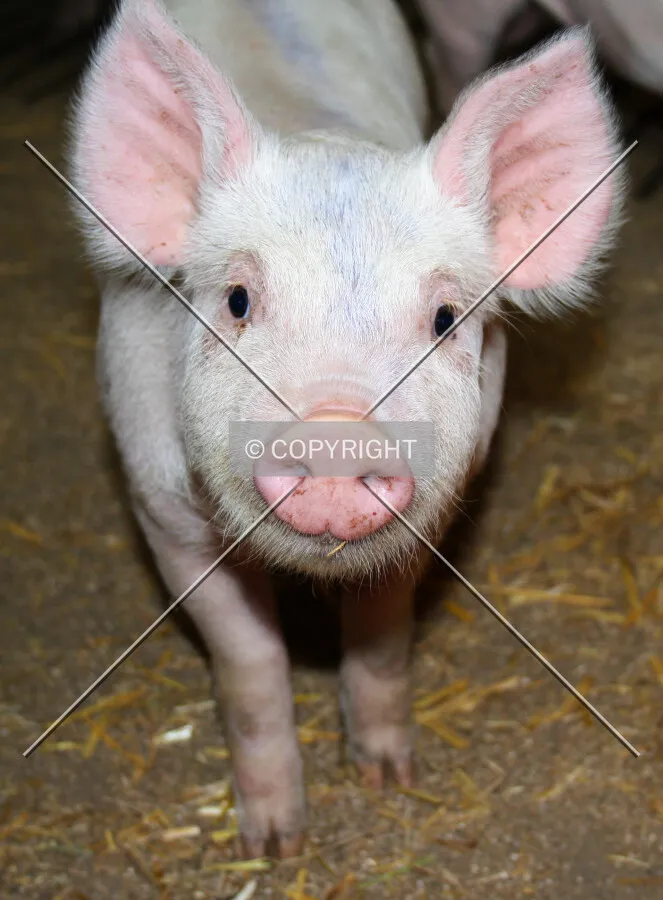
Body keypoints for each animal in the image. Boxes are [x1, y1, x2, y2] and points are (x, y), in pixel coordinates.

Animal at [70, 0, 624, 858]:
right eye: (237, 300)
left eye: (443, 317)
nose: (337, 434)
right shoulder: (160, 508)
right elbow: (249, 663)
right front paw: (273, 845)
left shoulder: (433, 511)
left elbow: (382, 634)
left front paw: (388, 777)